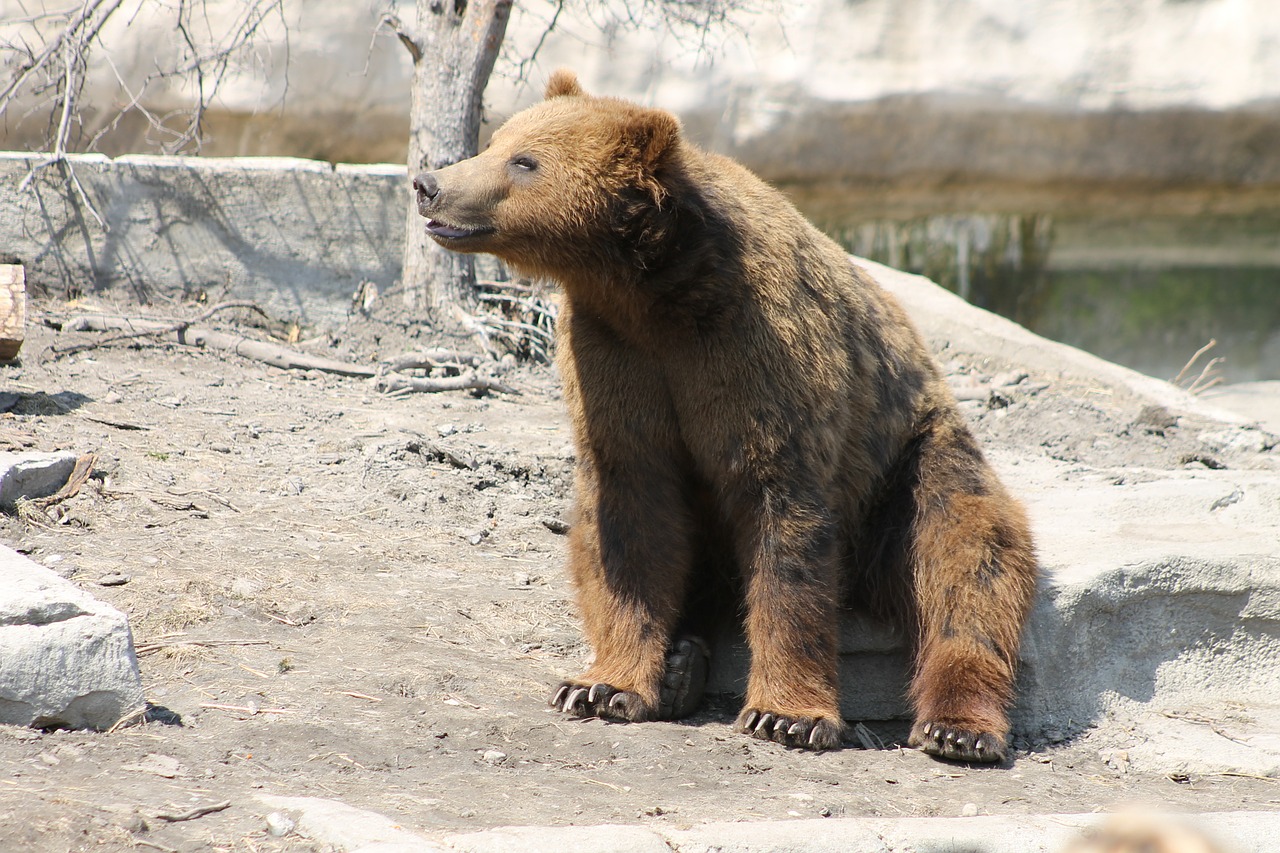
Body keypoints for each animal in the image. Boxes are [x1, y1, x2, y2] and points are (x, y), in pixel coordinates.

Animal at [414, 71, 1034, 758]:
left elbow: (783, 522)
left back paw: (958, 727)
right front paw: (602, 685)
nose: (429, 183)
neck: (656, 291)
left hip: (908, 459)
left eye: (524, 160)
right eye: (498, 140)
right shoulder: (614, 357)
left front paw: (785, 715)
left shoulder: (754, 352)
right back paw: (681, 666)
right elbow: (629, 521)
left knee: (964, 555)